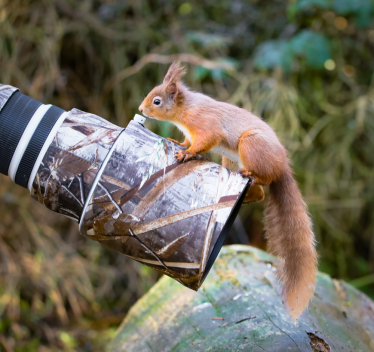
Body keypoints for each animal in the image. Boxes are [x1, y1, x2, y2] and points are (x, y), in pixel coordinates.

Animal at [139, 62, 318, 320]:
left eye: (157, 101)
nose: (141, 109)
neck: (187, 109)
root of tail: (281, 166)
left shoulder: (206, 126)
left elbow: (205, 141)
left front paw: (187, 154)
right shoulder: (191, 133)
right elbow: (188, 141)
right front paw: (179, 144)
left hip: (251, 145)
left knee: (264, 179)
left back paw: (252, 176)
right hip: (230, 161)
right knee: (260, 193)